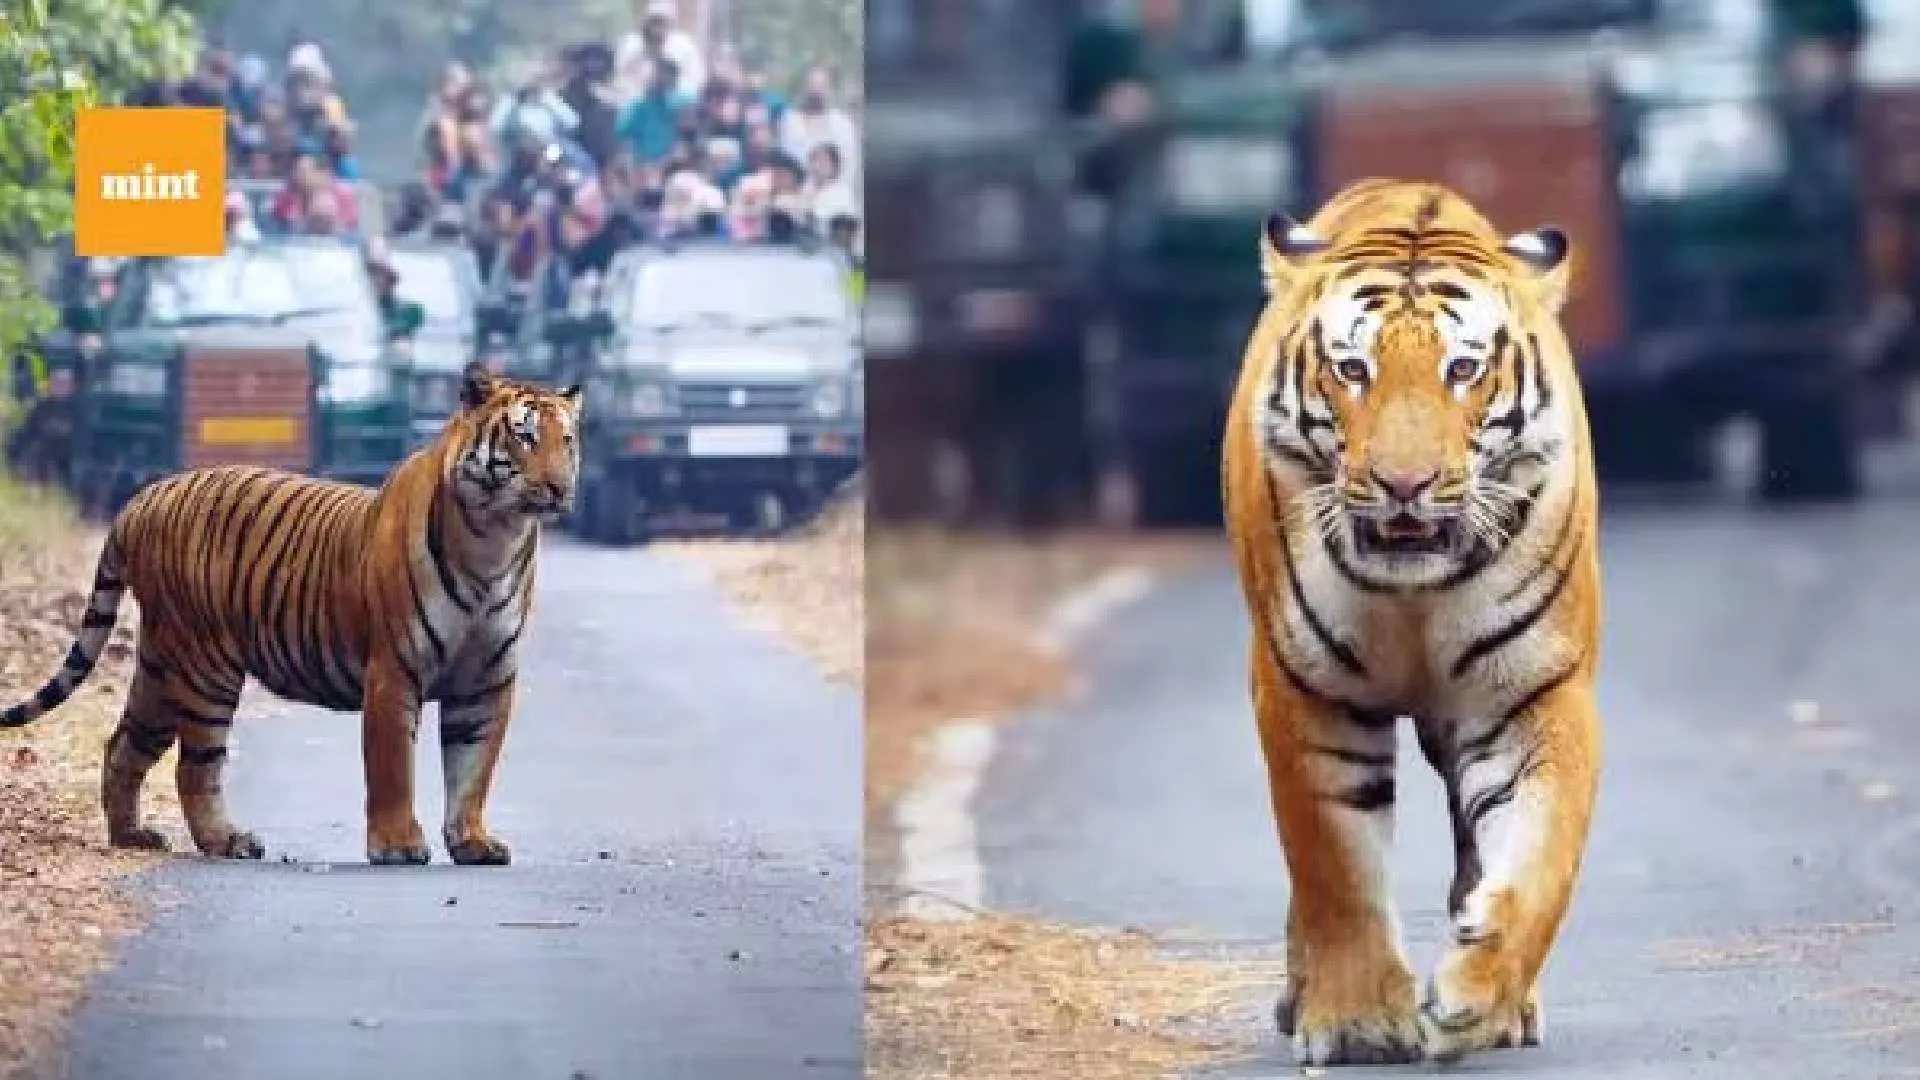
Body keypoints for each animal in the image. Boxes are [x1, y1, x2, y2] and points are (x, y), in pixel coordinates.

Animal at [1, 361, 583, 864]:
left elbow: (473, 769)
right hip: (204, 666)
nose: (561, 488)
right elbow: (393, 767)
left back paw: (132, 837)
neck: (495, 541)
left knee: (123, 744)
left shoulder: (486, 678)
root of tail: (142, 499)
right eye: (525, 437)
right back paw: (227, 841)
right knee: (194, 768)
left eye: (568, 441)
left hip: (161, 665)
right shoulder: (394, 670)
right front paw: (397, 845)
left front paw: (472, 842)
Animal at [1228, 180, 1605, 1060]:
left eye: (1462, 369)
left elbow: (1540, 859)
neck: (1414, 594)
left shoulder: (1539, 694)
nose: (1406, 485)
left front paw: (1477, 995)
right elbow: (1333, 865)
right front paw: (1358, 1022)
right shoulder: (1305, 693)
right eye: (1352, 369)